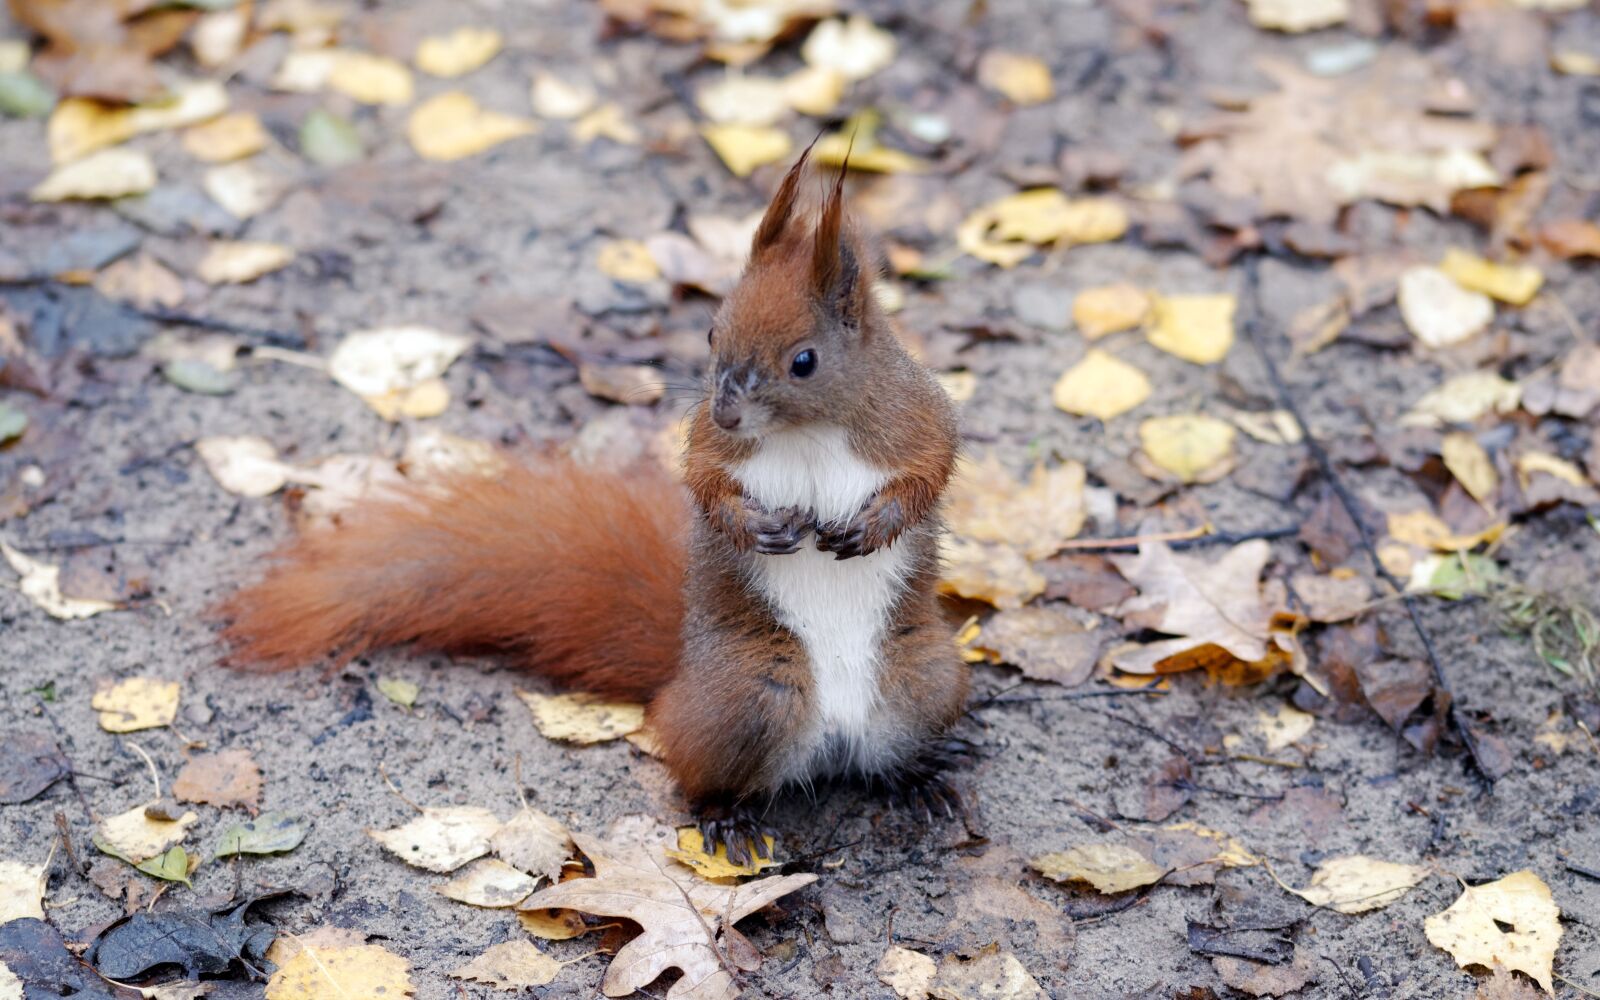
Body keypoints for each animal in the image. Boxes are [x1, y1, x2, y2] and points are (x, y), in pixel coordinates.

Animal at [215, 147, 970, 862]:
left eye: (804, 361)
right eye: (710, 333)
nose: (724, 411)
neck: (805, 432)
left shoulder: (912, 415)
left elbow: (932, 467)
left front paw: (875, 524)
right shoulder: (712, 450)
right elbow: (705, 483)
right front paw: (753, 525)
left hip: (926, 679)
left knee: (890, 747)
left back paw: (921, 776)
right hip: (750, 698)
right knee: (698, 773)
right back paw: (728, 817)